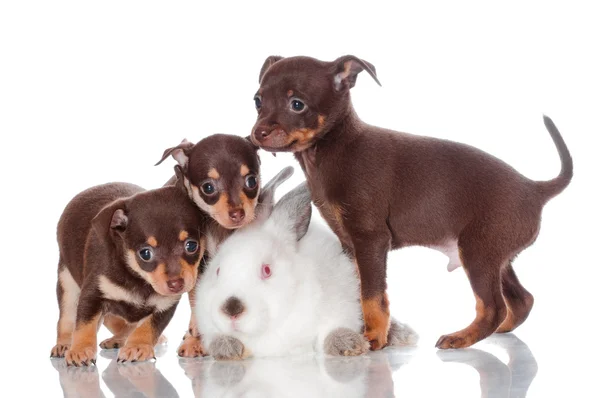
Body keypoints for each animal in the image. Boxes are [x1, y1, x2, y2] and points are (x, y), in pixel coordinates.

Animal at [50, 179, 209, 366]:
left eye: (191, 246)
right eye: (145, 253)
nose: (176, 284)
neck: (138, 277)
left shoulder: (164, 305)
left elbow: (148, 327)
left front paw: (137, 346)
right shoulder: (92, 294)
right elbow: (84, 325)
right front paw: (80, 350)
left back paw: (120, 339)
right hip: (67, 283)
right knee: (67, 319)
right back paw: (65, 345)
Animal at [156, 134, 292, 358]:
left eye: (251, 181)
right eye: (208, 187)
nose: (238, 213)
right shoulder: (198, 265)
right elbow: (196, 299)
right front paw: (195, 340)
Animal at [197, 182, 418, 360]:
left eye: (267, 270)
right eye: (217, 271)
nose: (231, 310)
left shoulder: (342, 303)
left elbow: (333, 329)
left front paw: (347, 344)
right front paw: (227, 348)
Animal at [251, 55, 576, 348]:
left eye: (297, 104)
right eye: (258, 101)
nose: (257, 133)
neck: (328, 152)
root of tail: (534, 189)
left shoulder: (371, 240)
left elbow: (372, 296)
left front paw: (374, 337)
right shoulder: (351, 245)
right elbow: (358, 291)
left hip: (478, 253)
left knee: (493, 307)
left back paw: (462, 337)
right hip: (497, 256)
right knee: (522, 300)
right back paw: (501, 330)